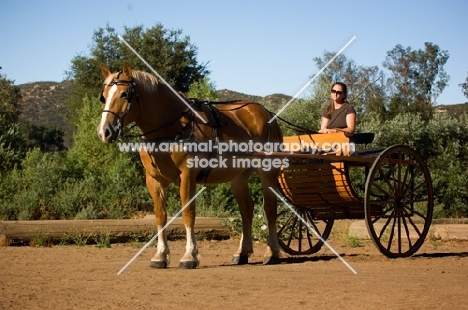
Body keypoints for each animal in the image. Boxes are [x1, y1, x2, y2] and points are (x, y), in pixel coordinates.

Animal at [97, 61, 284, 268]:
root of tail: (267, 113)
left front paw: (190, 256)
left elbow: (188, 213)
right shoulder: (154, 179)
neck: (171, 127)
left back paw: (272, 252)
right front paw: (160, 255)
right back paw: (242, 253)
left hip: (267, 170)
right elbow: (160, 216)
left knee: (269, 209)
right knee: (247, 209)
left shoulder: (187, 175)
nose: (104, 132)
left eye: (124, 94)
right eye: (104, 96)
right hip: (239, 176)